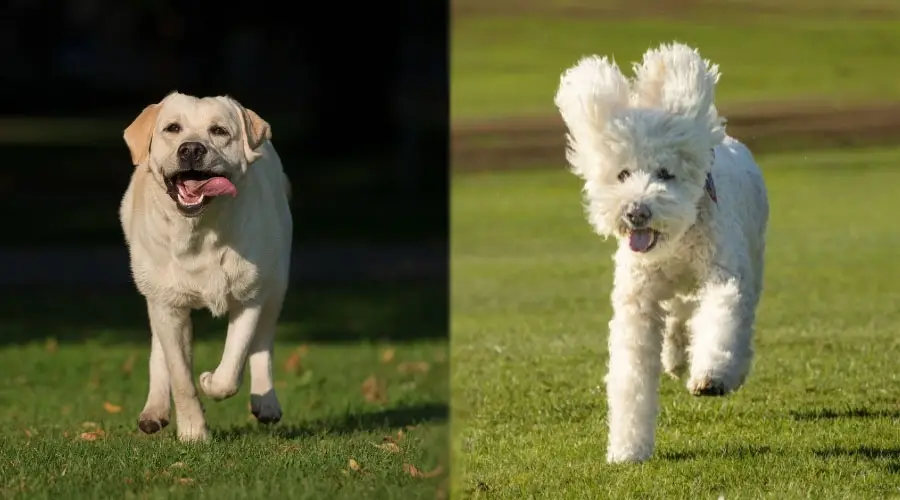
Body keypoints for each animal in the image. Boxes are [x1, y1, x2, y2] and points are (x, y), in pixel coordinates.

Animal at [119, 92, 294, 440]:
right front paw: (193, 432)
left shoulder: (249, 297)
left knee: (264, 340)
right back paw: (154, 410)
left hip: (277, 281)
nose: (191, 149)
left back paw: (266, 402)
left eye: (219, 131)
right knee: (159, 348)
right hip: (152, 289)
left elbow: (230, 370)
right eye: (173, 128)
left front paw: (209, 381)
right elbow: (180, 376)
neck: (198, 233)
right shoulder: (167, 305)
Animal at [556, 41, 768, 462]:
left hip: (751, 259)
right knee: (681, 314)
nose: (636, 212)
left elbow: (721, 317)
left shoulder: (723, 274)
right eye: (622, 174)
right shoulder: (638, 302)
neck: (676, 240)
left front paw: (710, 375)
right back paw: (674, 356)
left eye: (665, 174)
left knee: (737, 317)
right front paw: (627, 449)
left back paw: (726, 369)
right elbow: (631, 373)